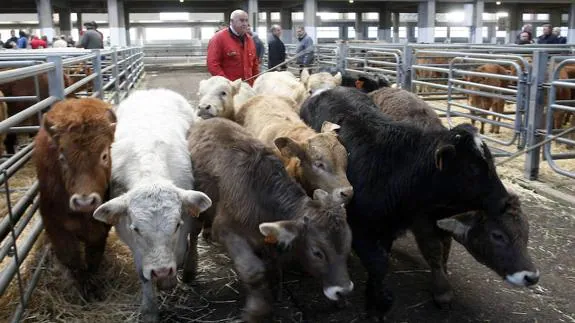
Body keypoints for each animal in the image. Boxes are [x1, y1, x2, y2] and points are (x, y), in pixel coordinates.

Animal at [34, 98, 116, 302]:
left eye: (104, 155)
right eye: (62, 157)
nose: (84, 202)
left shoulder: (99, 228)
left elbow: (94, 257)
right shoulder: (56, 226)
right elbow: (73, 260)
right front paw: (83, 290)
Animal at [93, 88, 213, 323]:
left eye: (176, 225)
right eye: (136, 228)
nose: (161, 271)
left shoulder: (185, 224)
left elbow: (181, 249)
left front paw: (170, 279)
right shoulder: (130, 239)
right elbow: (143, 273)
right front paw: (150, 309)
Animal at [187, 119, 354, 323]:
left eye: (347, 246)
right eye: (317, 253)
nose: (343, 291)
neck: (260, 195)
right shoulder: (226, 229)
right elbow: (252, 271)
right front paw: (257, 311)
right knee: (193, 233)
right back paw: (189, 269)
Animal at [302, 86, 540, 322]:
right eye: (472, 168)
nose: (503, 200)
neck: (396, 168)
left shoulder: (389, 228)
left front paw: (374, 302)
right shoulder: (362, 227)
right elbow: (380, 263)